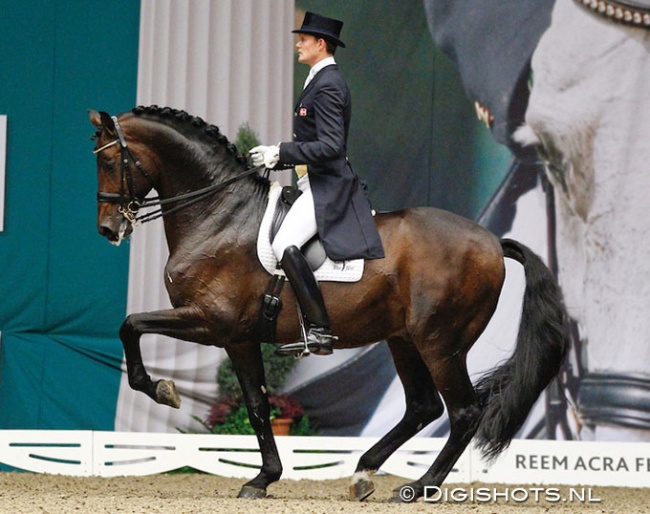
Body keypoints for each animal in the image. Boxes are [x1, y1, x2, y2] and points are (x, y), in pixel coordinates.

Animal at [87, 105, 568, 500]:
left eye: (108, 162)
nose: (109, 230)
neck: (219, 216)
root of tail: (492, 242)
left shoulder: (210, 322)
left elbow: (130, 324)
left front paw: (160, 389)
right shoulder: (239, 338)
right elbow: (258, 406)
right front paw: (263, 478)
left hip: (440, 342)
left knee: (464, 411)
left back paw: (419, 487)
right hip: (404, 340)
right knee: (423, 406)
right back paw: (363, 473)